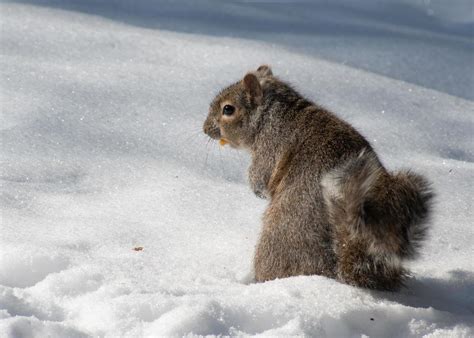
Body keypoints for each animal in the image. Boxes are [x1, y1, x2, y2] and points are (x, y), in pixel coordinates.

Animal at [202, 65, 432, 290]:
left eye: (228, 109)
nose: (205, 129)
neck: (272, 114)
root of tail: (335, 271)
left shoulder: (270, 148)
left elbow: (260, 179)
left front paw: (257, 190)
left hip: (281, 235)